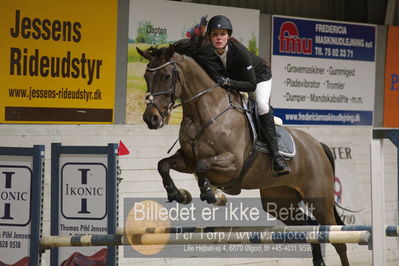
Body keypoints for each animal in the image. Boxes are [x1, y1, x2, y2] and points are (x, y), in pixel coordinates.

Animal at [138, 44, 350, 264]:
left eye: (165, 76)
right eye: (146, 76)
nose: (151, 119)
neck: (205, 112)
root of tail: (318, 145)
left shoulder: (232, 164)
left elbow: (203, 165)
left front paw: (210, 193)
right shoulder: (187, 160)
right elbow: (164, 165)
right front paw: (178, 194)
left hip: (319, 200)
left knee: (337, 239)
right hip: (279, 201)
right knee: (310, 228)